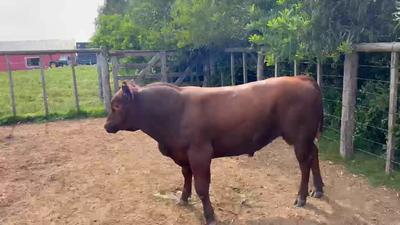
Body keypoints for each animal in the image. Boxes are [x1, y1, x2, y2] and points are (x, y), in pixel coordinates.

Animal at [104, 76, 324, 225]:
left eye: (117, 105)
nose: (106, 125)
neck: (173, 112)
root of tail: (303, 78)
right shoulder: (183, 154)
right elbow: (186, 176)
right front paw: (183, 198)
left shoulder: (200, 153)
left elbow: (202, 187)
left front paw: (209, 216)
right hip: (306, 137)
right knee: (314, 153)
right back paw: (318, 189)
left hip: (299, 136)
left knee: (304, 163)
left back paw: (302, 197)